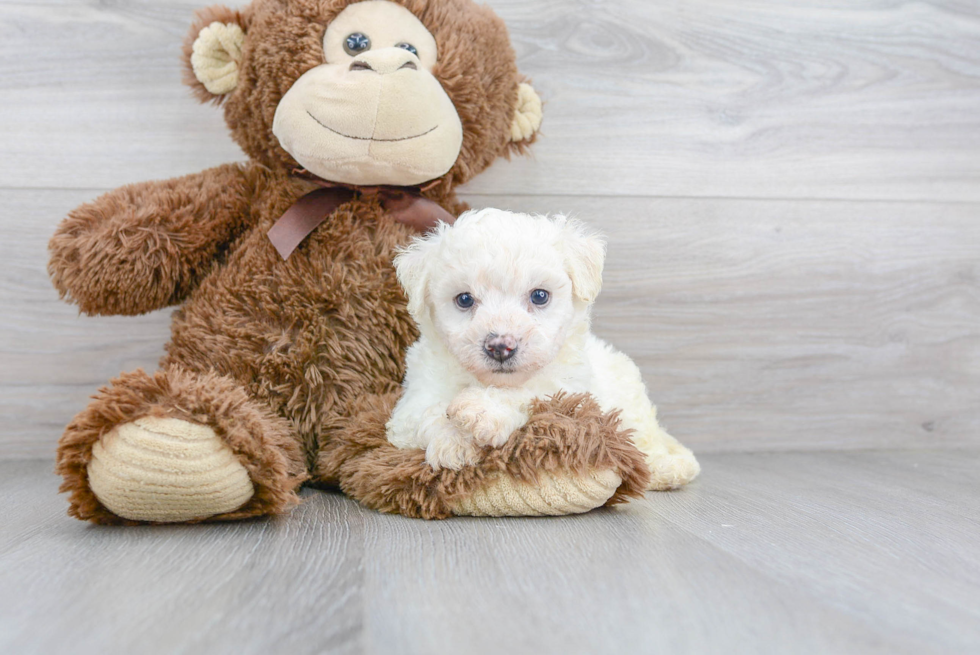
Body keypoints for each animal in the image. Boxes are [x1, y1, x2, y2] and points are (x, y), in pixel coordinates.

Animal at [386, 208, 700, 490]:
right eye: (464, 299)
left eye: (539, 296)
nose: (500, 346)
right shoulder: (410, 406)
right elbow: (429, 410)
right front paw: (452, 443)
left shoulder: (572, 394)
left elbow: (532, 395)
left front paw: (483, 410)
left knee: (646, 440)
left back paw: (667, 469)